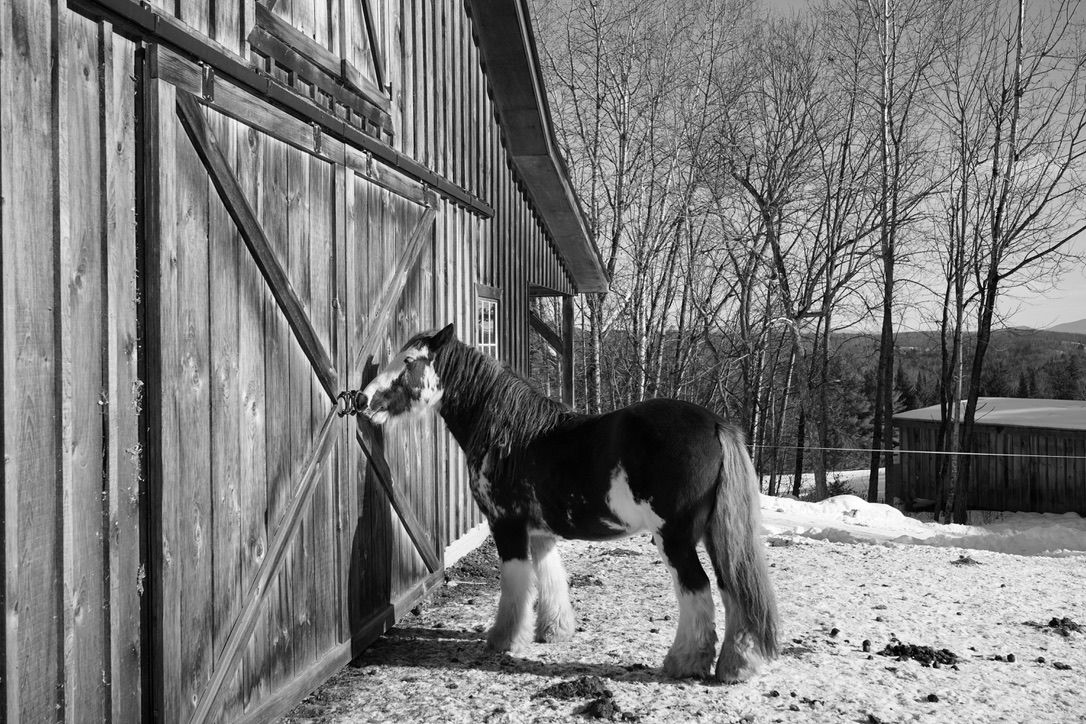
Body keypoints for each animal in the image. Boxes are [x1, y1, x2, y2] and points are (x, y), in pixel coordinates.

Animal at [354, 323, 778, 682]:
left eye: (409, 361)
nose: (361, 398)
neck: (511, 435)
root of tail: (716, 424)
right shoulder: (540, 533)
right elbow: (548, 577)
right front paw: (553, 631)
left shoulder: (507, 526)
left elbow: (515, 584)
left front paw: (504, 639)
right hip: (713, 534)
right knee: (733, 589)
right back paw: (736, 666)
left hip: (674, 538)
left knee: (699, 589)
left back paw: (685, 662)